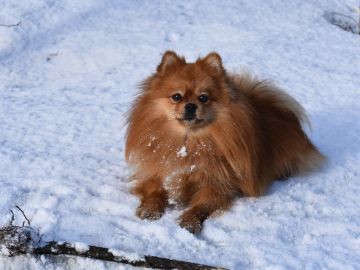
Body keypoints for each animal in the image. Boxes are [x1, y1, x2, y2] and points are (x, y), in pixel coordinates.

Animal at [124, 51, 326, 233]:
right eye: (177, 97)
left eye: (203, 98)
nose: (190, 106)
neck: (188, 143)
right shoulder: (158, 172)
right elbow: (154, 191)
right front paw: (150, 208)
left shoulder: (217, 185)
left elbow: (201, 206)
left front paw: (189, 221)